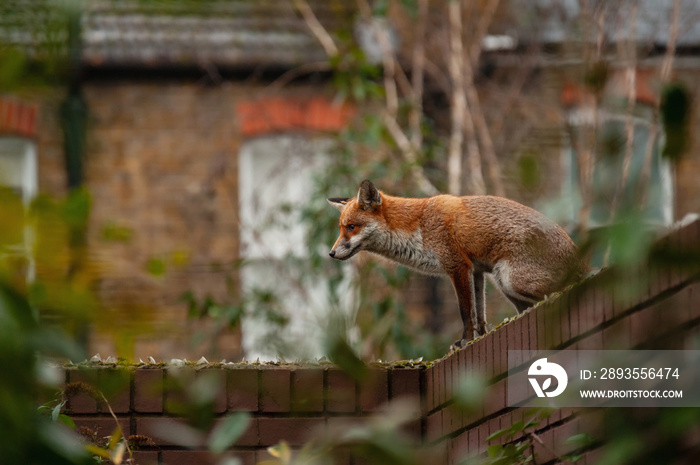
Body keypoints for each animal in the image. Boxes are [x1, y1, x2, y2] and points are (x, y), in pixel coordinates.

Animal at [328, 179, 584, 350]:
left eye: (351, 227)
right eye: (340, 229)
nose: (331, 253)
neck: (419, 226)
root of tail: (580, 257)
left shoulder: (458, 266)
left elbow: (465, 312)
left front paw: (465, 341)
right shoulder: (477, 270)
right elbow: (479, 313)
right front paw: (481, 337)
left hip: (510, 279)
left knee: (556, 293)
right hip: (504, 284)